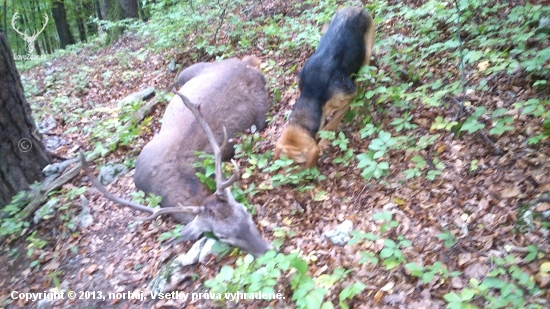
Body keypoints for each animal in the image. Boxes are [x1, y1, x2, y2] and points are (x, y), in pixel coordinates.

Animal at [274, 6, 378, 167]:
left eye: (298, 164)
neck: (311, 96)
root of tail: (355, 7)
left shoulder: (347, 97)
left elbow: (333, 121)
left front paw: (324, 140)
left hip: (366, 52)